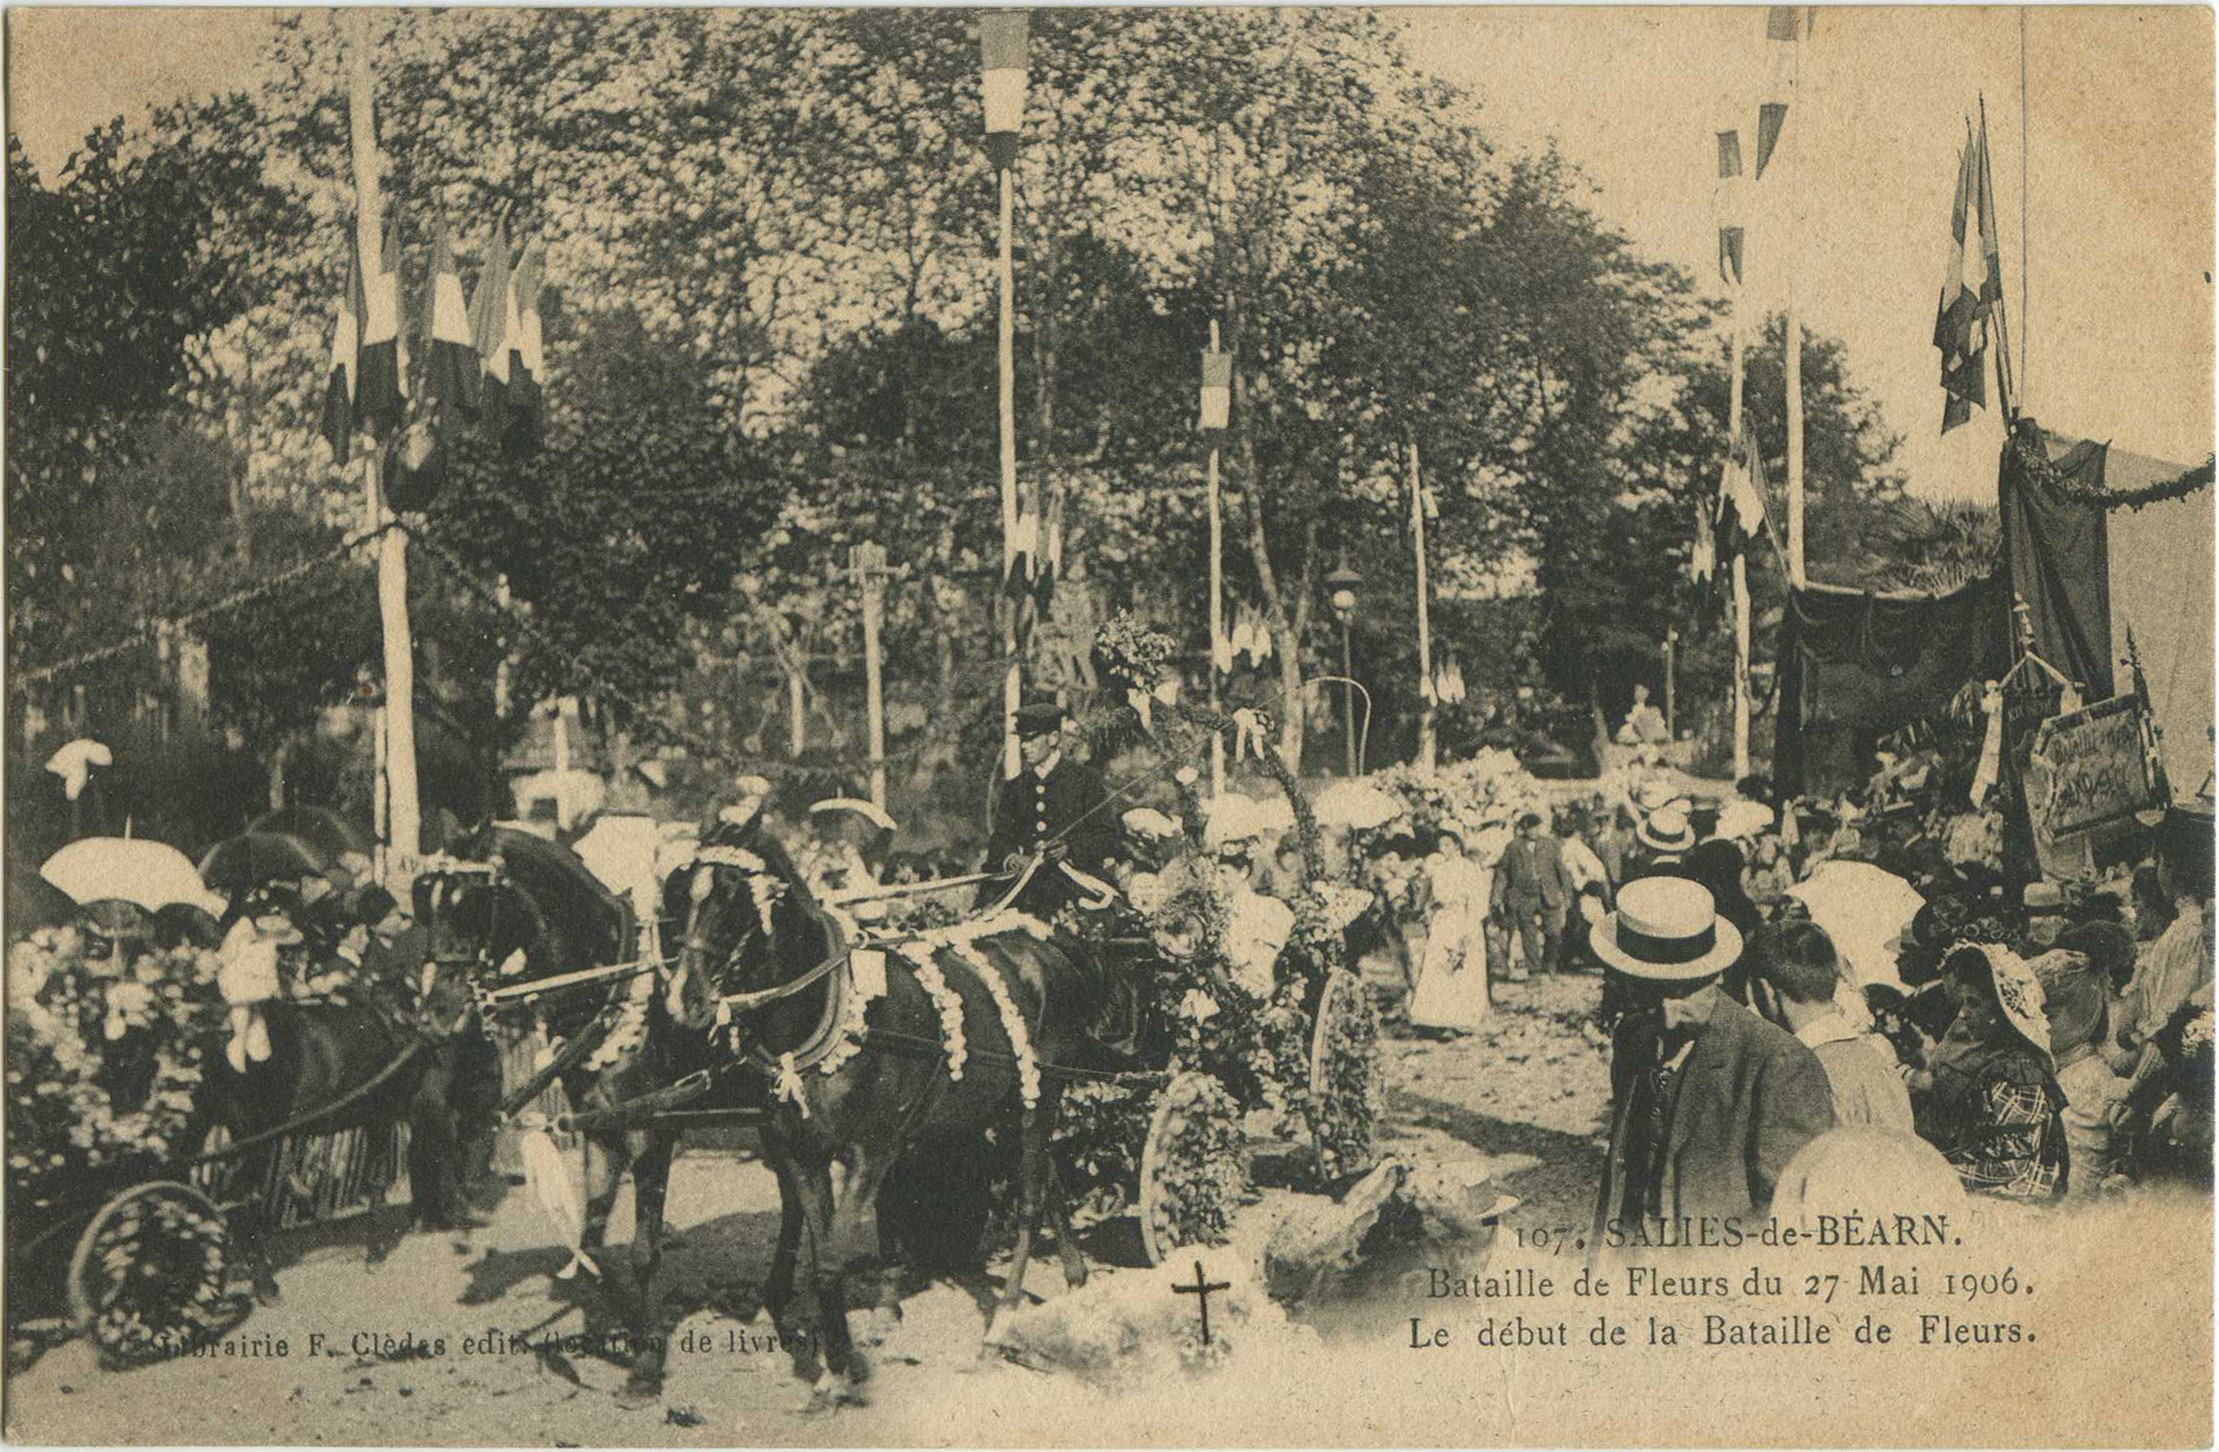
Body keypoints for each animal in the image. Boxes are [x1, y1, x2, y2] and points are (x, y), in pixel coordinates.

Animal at [652, 817, 1118, 1412]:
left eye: (736, 898)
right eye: (679, 895)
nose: (685, 1000)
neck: (830, 1010)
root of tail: (1053, 945)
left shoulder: (871, 1152)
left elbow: (831, 1261)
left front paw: (844, 1369)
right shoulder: (802, 1153)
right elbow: (820, 1253)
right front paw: (833, 1365)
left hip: (1043, 1097)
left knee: (1032, 1200)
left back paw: (1001, 1325)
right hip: (1010, 1106)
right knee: (1051, 1182)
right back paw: (1076, 1276)